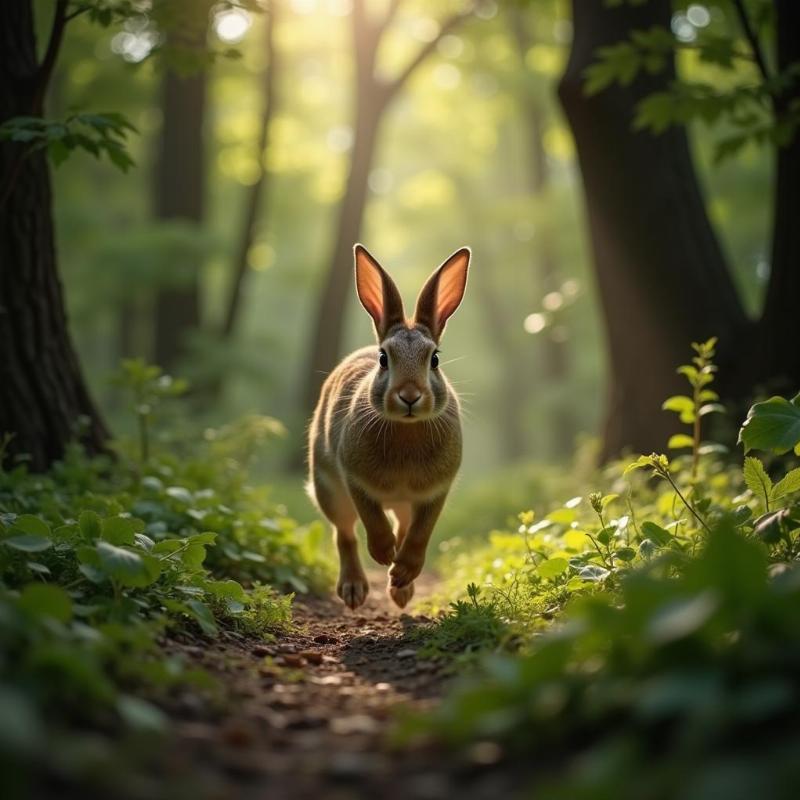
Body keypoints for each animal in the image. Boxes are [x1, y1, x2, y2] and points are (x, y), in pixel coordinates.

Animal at [306, 242, 468, 608]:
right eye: (384, 359)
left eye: (434, 359)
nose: (409, 396)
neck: (406, 430)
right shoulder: (354, 477)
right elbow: (372, 521)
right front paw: (384, 554)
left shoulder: (435, 492)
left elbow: (420, 535)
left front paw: (402, 571)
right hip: (327, 488)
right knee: (344, 533)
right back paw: (354, 590)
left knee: (402, 527)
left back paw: (401, 590)